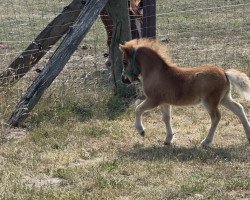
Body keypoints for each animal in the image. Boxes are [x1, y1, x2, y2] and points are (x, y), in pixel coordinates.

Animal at [119, 38, 250, 146]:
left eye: (125, 62)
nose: (124, 80)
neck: (156, 73)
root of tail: (224, 72)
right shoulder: (164, 102)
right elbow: (166, 118)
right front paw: (168, 139)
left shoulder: (153, 100)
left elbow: (138, 109)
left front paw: (141, 131)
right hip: (224, 98)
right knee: (239, 108)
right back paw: (248, 136)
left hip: (210, 101)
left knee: (216, 117)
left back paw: (206, 142)